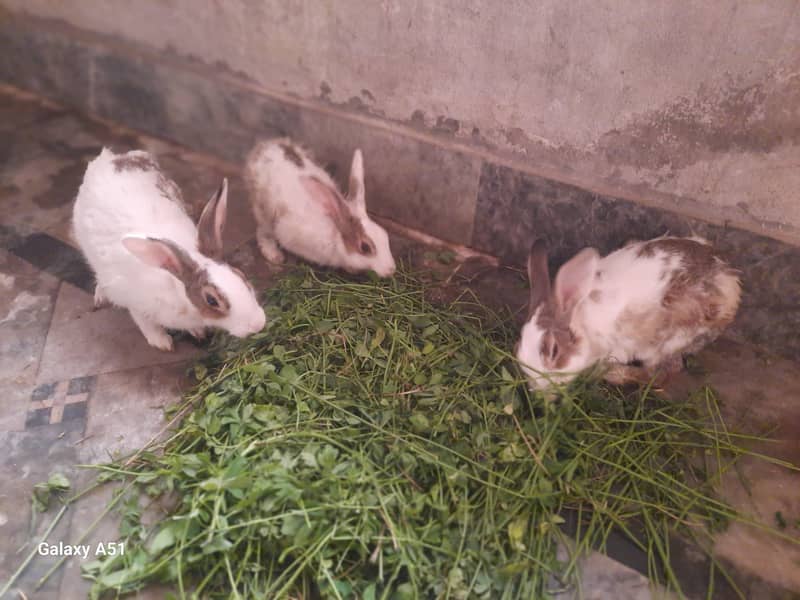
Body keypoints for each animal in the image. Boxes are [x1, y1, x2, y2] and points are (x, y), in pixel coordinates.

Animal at [72, 148, 266, 351]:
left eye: (241, 276)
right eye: (211, 300)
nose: (258, 324)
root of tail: (109, 158)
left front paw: (198, 332)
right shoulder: (137, 304)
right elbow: (146, 324)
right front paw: (162, 343)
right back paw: (100, 296)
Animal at [244, 138, 396, 277]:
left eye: (385, 235)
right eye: (365, 247)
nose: (391, 270)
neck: (335, 231)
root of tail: (263, 148)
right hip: (264, 212)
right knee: (263, 232)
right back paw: (274, 255)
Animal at [515, 235, 741, 391]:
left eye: (553, 350)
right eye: (517, 350)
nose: (538, 389)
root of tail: (731, 285)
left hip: (670, 339)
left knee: (662, 373)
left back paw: (613, 373)